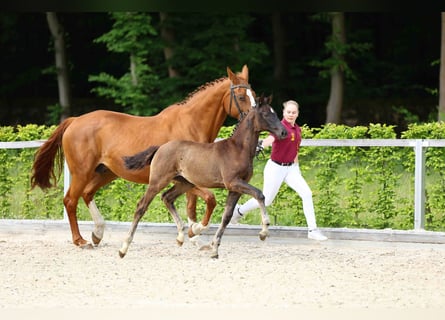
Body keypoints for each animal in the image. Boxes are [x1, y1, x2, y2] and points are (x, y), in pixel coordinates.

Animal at [30, 63, 253, 246]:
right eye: (242, 97)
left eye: (254, 95)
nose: (253, 120)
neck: (190, 124)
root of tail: (74, 120)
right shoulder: (184, 179)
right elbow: (208, 199)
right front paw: (194, 231)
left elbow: (194, 205)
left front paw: (192, 234)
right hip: (81, 172)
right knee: (70, 200)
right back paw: (80, 240)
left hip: (106, 172)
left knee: (87, 194)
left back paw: (97, 234)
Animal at [118, 94, 286, 258]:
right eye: (265, 114)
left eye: (275, 113)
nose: (283, 132)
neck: (238, 149)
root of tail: (160, 148)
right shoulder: (233, 182)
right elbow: (259, 194)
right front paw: (264, 232)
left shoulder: (235, 188)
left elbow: (227, 216)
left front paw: (215, 249)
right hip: (158, 181)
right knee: (141, 207)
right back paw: (123, 248)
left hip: (184, 183)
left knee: (167, 197)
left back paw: (181, 236)